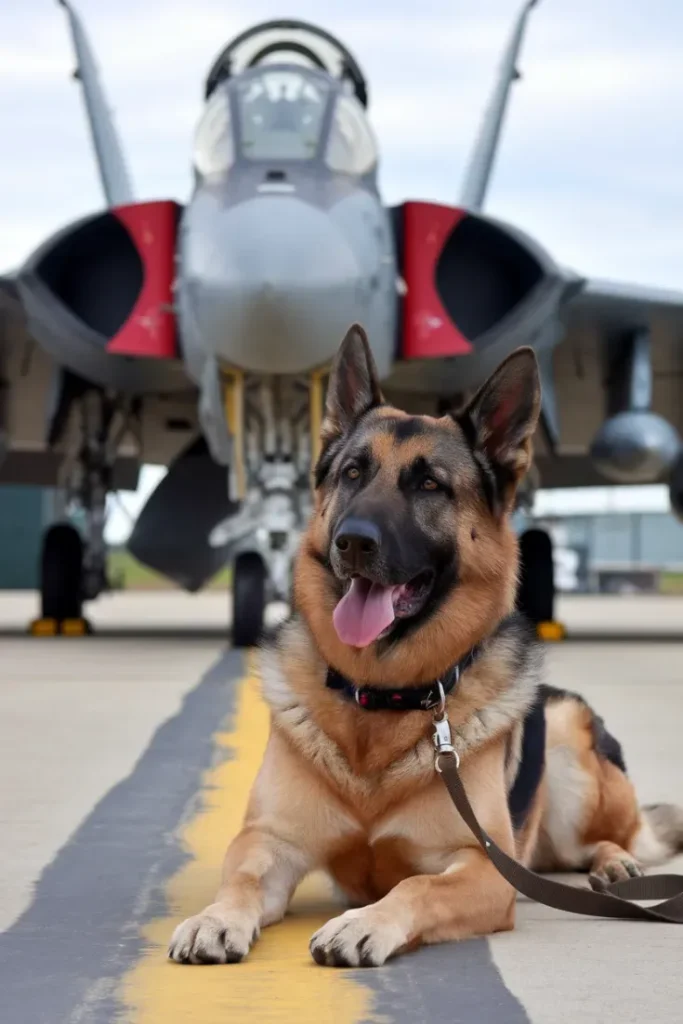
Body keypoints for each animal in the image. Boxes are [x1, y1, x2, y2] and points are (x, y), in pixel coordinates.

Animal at [169, 323, 683, 962]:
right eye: (353, 473)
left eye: (431, 485)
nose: (352, 542)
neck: (380, 697)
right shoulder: (270, 841)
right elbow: (239, 877)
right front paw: (215, 918)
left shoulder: (483, 869)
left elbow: (416, 886)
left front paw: (362, 923)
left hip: (570, 748)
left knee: (608, 840)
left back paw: (615, 867)